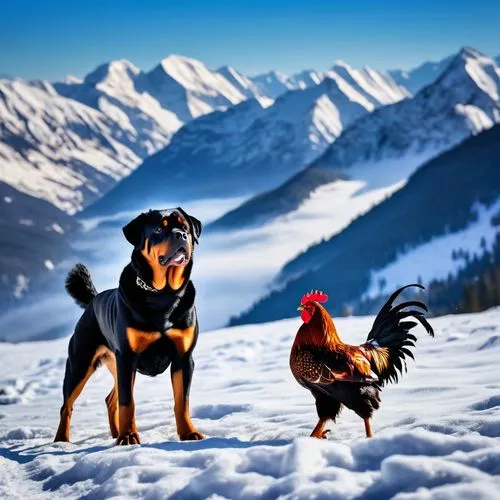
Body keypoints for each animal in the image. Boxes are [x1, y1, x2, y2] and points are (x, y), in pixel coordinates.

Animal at [53, 208, 202, 446]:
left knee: (110, 399)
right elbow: (127, 403)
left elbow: (182, 401)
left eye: (185, 227)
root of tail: (93, 301)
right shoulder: (128, 357)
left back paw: (114, 434)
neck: (162, 294)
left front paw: (188, 433)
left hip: (113, 365)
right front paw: (129, 436)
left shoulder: (184, 358)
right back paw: (61, 441)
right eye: (158, 229)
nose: (182, 235)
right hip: (80, 363)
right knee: (67, 405)